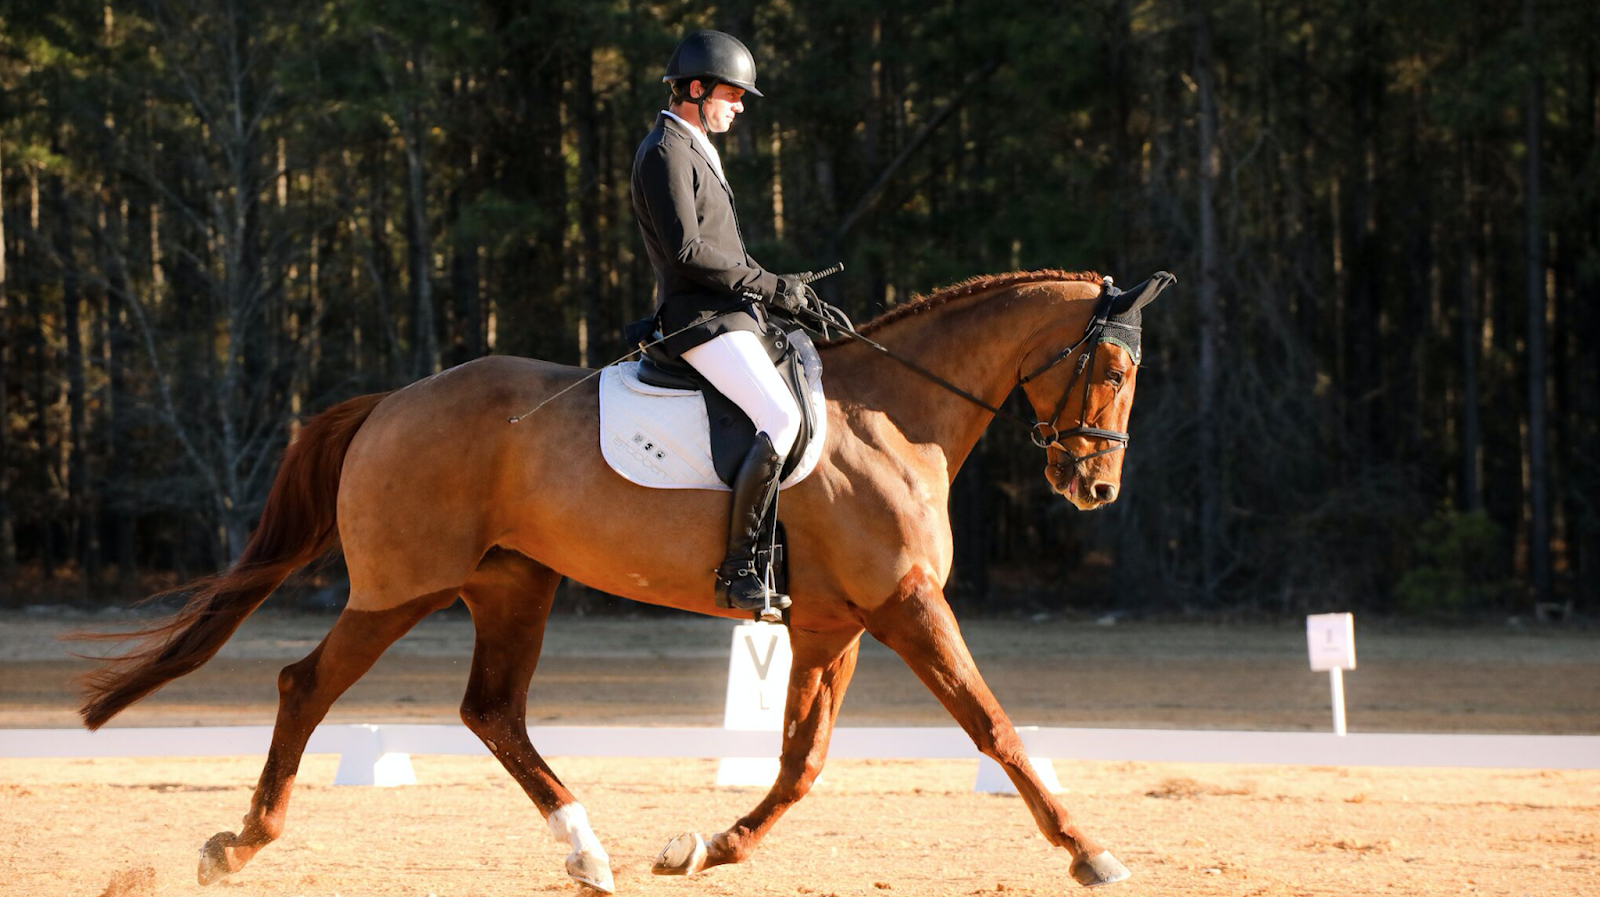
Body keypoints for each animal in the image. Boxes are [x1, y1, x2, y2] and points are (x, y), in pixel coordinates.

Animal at [74, 268, 1169, 892]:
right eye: (1115, 372)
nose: (1097, 486)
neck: (894, 415)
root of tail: (392, 402)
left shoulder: (834, 624)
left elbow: (801, 761)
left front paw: (705, 848)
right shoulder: (906, 607)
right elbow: (996, 728)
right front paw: (1089, 851)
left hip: (513, 585)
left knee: (492, 711)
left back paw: (587, 852)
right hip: (400, 589)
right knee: (307, 684)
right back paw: (237, 843)